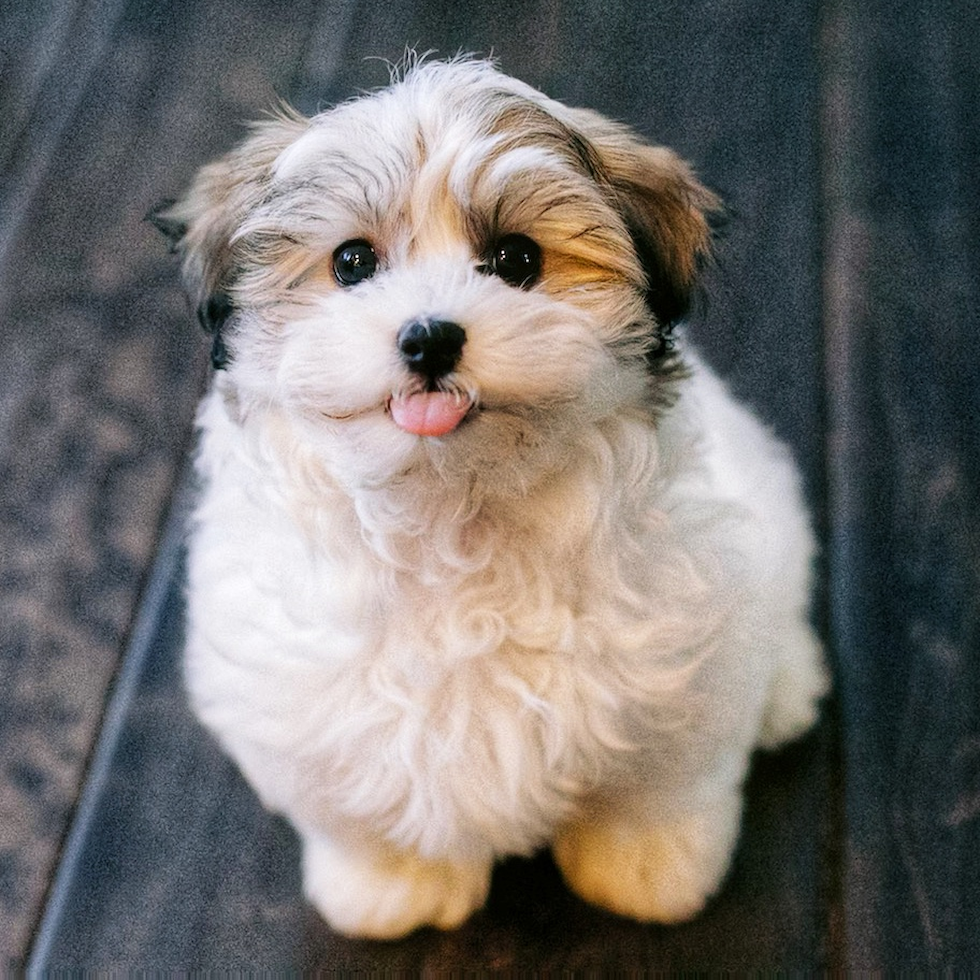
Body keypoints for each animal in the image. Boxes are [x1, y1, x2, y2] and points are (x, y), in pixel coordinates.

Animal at [153, 55, 828, 940]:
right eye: (352, 264)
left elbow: (658, 788)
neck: (458, 512)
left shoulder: (684, 682)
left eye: (515, 260)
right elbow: (366, 804)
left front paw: (648, 868)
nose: (429, 337)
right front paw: (391, 883)